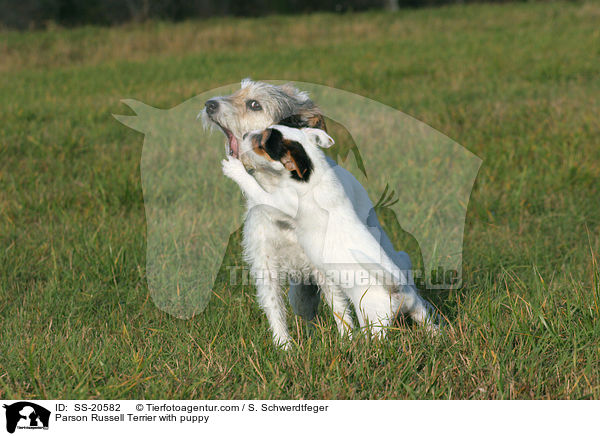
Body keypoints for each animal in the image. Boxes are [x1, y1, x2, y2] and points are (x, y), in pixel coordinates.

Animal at [223, 124, 438, 346]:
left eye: (261, 143)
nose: (244, 135)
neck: (314, 174)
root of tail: (396, 289)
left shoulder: (277, 203)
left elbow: (255, 189)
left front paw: (233, 169)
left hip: (375, 319)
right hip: (417, 308)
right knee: (429, 323)